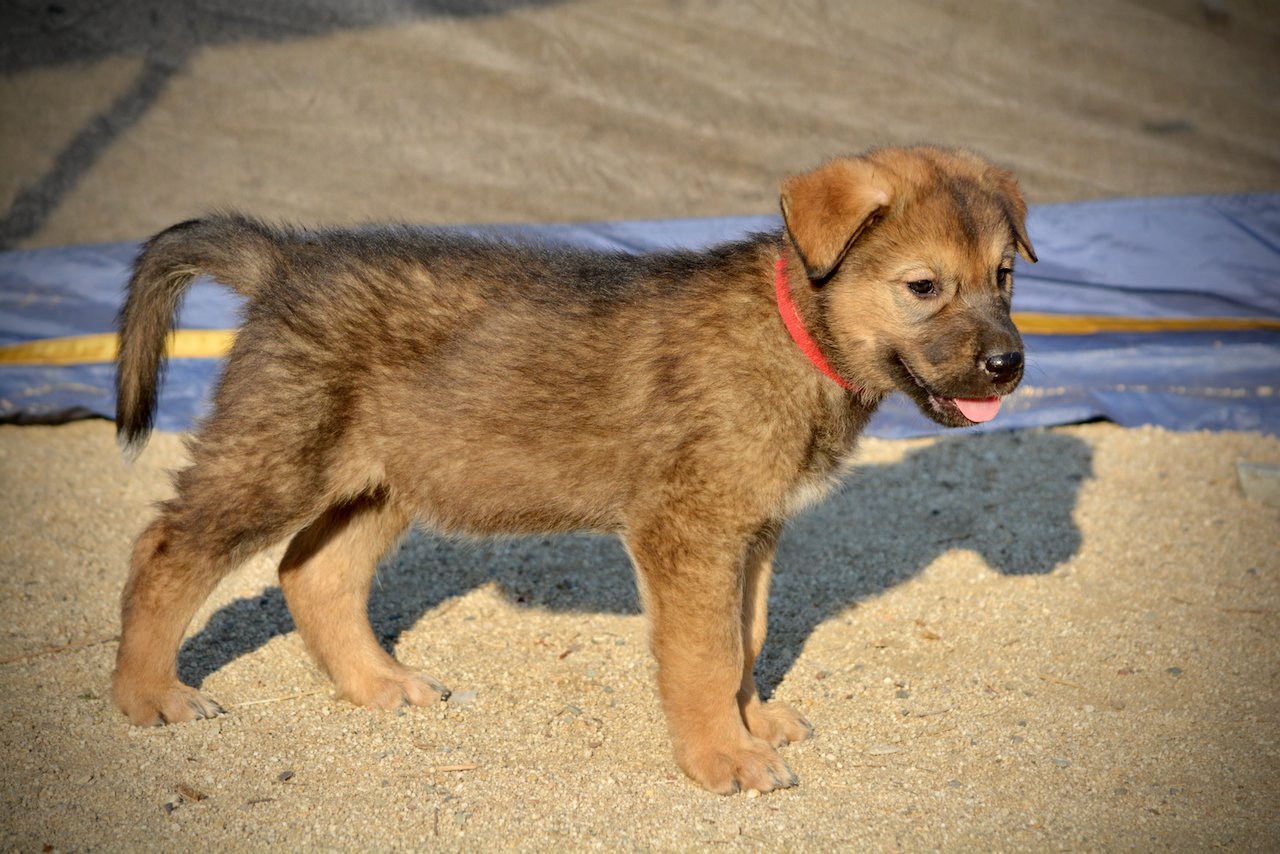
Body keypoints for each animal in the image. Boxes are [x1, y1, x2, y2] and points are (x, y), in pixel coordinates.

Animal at [112, 145, 1039, 793]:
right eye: (924, 287)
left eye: (1003, 277)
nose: (1009, 366)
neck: (795, 331)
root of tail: (284, 261)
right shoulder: (689, 530)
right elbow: (705, 653)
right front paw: (721, 756)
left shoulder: (751, 530)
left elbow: (746, 637)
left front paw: (750, 723)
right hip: (278, 458)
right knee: (167, 550)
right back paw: (148, 695)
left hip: (391, 477)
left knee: (315, 572)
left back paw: (379, 684)